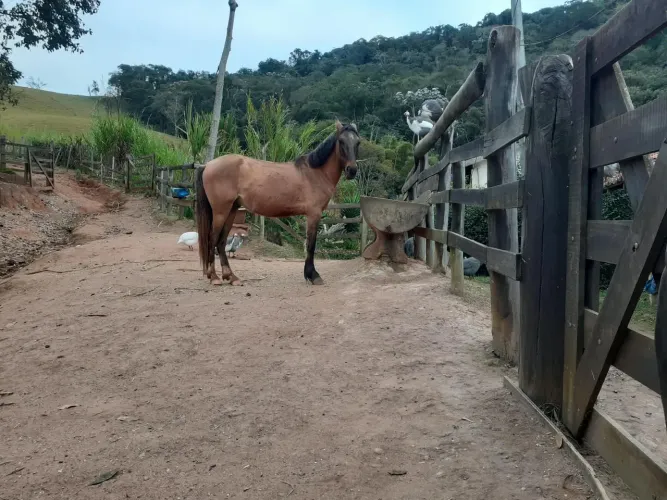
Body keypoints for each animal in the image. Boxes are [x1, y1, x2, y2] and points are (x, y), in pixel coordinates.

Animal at [195, 120, 360, 286]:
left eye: (358, 142)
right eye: (341, 141)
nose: (352, 170)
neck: (315, 173)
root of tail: (208, 165)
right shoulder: (314, 214)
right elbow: (311, 245)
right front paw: (313, 275)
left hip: (232, 210)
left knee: (222, 241)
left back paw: (231, 277)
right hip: (221, 211)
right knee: (212, 238)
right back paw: (214, 277)